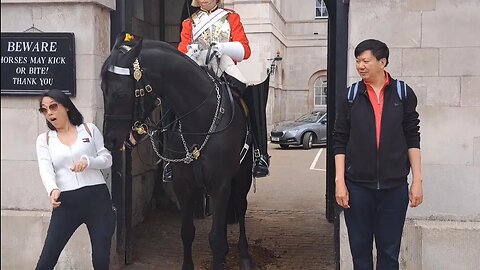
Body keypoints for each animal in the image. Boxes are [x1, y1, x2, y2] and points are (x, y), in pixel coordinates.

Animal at [100, 32, 255, 270]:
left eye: (119, 92)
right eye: (102, 89)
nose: (110, 140)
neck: (200, 120)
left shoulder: (220, 185)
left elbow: (216, 238)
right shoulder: (184, 185)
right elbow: (187, 232)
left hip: (242, 175)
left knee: (240, 206)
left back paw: (245, 255)